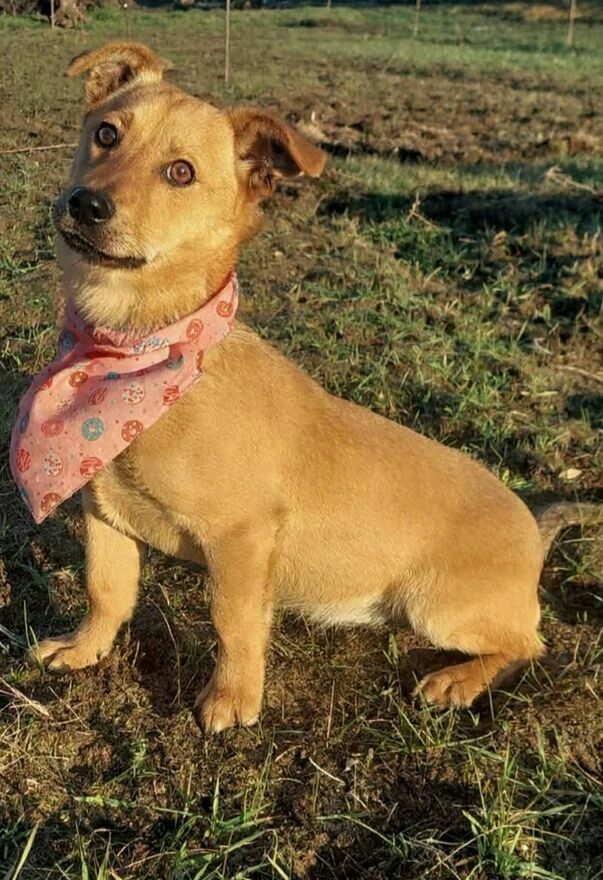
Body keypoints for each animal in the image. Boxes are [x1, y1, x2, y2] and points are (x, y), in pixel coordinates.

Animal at [20, 42, 598, 732]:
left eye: (181, 173)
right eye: (105, 134)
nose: (87, 204)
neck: (134, 351)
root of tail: (533, 532)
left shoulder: (242, 539)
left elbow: (234, 623)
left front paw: (234, 699)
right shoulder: (104, 511)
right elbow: (105, 591)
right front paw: (83, 650)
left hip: (438, 604)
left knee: (529, 644)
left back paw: (456, 681)